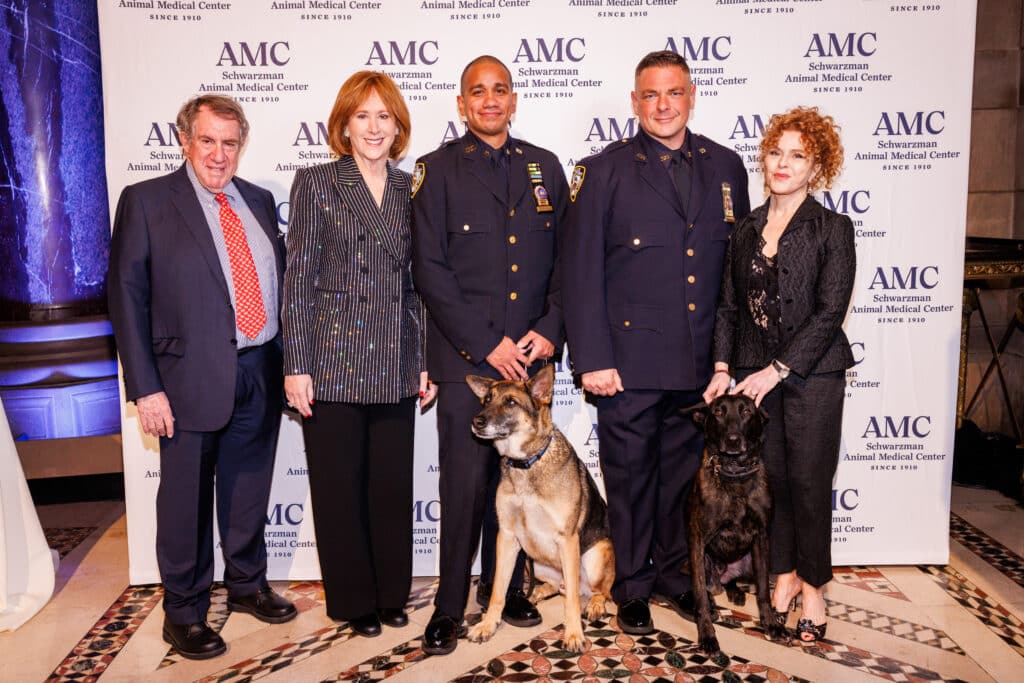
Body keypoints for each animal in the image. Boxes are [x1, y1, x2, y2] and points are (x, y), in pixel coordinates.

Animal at [466, 366, 614, 655]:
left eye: (511, 402)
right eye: (487, 399)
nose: (477, 421)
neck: (526, 463)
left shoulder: (567, 539)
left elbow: (572, 604)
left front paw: (573, 634)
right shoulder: (507, 537)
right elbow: (498, 591)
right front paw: (488, 624)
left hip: (595, 556)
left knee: (597, 591)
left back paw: (594, 604)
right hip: (533, 562)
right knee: (558, 587)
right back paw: (536, 593)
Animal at [692, 395, 786, 655]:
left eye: (746, 412)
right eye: (717, 412)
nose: (733, 440)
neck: (734, 474)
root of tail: (720, 580)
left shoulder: (761, 538)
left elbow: (763, 590)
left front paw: (771, 623)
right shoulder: (698, 540)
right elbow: (699, 593)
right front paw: (707, 634)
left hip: (748, 561)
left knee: (735, 581)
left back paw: (734, 591)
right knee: (706, 589)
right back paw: (714, 602)